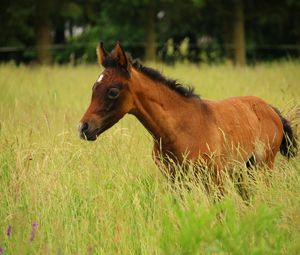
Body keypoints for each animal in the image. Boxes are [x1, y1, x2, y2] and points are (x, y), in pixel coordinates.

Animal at [78, 41, 298, 185]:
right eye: (93, 88)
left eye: (112, 91)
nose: (83, 127)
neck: (179, 129)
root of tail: (270, 109)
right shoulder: (176, 181)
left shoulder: (214, 178)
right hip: (243, 171)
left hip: (262, 167)